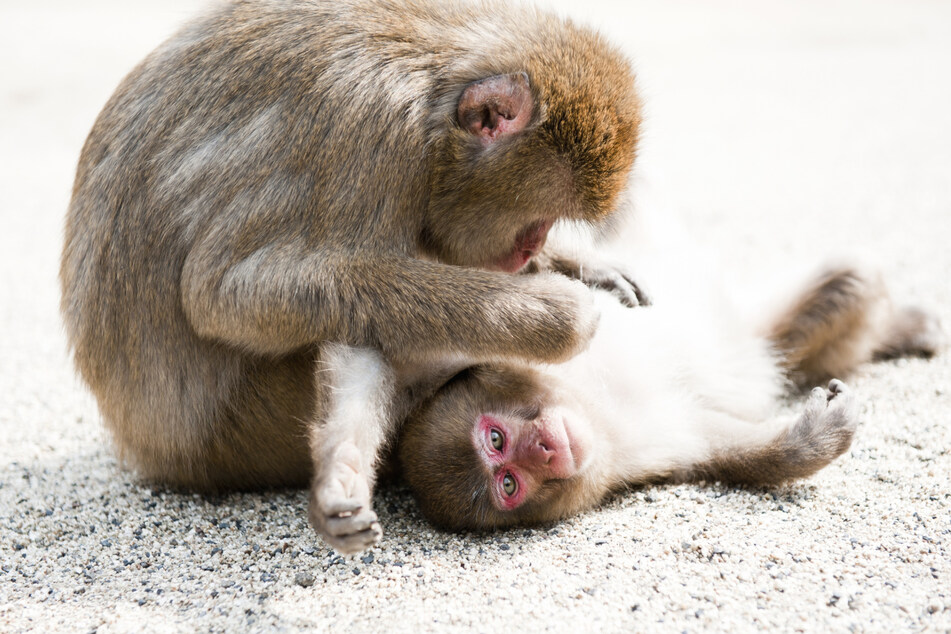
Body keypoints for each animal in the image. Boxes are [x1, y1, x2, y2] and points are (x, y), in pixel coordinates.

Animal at [57, 0, 648, 552]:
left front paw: (580, 265)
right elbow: (224, 293)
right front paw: (555, 312)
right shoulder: (372, 138)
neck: (432, 89)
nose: (532, 247)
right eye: (537, 218)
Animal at [398, 223, 940, 528]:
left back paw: (904, 328)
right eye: (509, 484)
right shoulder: (636, 455)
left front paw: (583, 264)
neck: (592, 405)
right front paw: (812, 440)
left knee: (854, 275)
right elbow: (727, 447)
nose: (546, 450)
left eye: (495, 438)